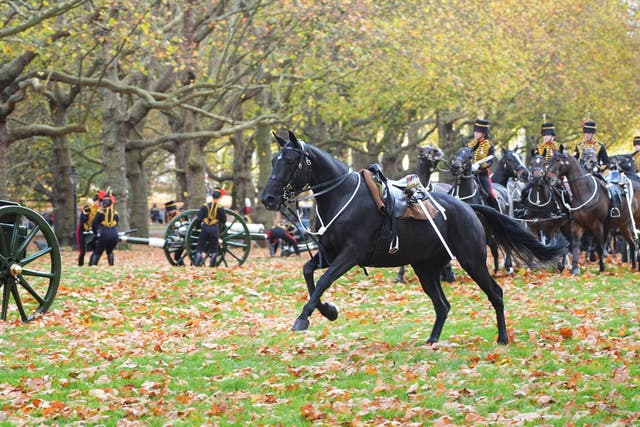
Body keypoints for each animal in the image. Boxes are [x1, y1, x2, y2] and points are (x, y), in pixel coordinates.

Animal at [262, 132, 564, 346]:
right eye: (274, 160)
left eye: (289, 160)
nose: (268, 198)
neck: (343, 197)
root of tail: (469, 208)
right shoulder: (328, 254)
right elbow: (308, 272)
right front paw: (327, 310)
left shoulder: (350, 255)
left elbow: (323, 280)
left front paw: (305, 317)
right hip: (426, 268)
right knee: (442, 305)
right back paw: (432, 340)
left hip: (472, 261)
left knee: (495, 294)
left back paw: (502, 338)